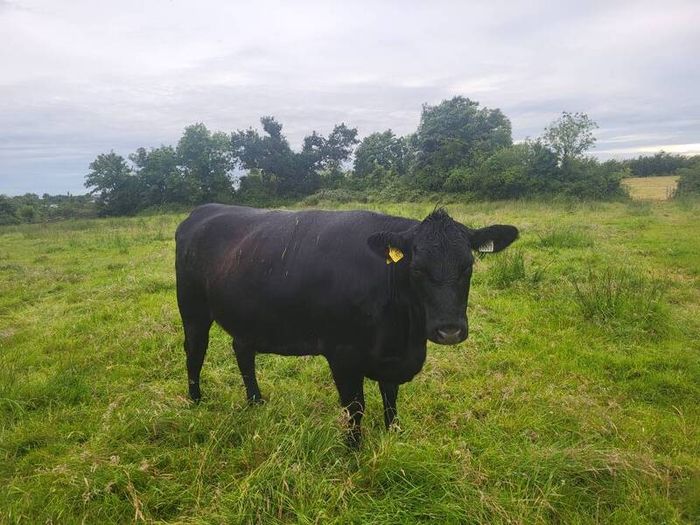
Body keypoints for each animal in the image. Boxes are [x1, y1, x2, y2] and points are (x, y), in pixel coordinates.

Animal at [175, 204, 518, 446]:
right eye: (417, 269)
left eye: (468, 266)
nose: (449, 330)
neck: (405, 336)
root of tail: (202, 211)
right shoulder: (342, 354)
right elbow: (355, 409)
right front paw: (353, 450)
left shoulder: (390, 356)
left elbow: (390, 398)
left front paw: (393, 435)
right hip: (193, 310)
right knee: (195, 351)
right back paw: (196, 401)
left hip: (247, 318)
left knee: (243, 352)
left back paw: (256, 401)